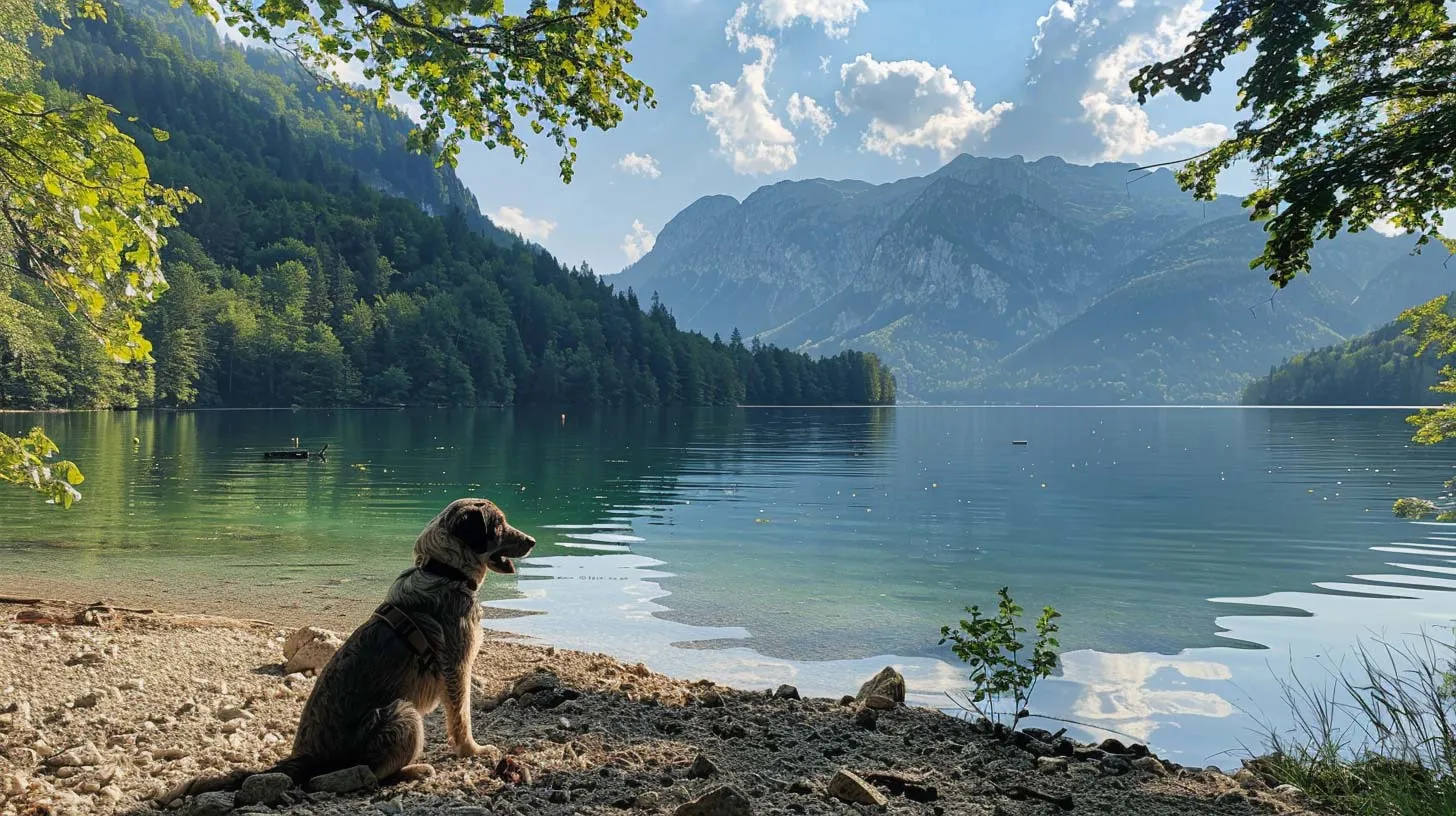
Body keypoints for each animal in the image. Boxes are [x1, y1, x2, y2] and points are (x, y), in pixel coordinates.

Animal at [165, 495, 538, 798]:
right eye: (499, 524)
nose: (533, 541)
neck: (444, 570)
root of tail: (305, 758)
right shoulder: (456, 667)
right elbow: (462, 719)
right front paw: (473, 751)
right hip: (402, 714)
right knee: (369, 774)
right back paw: (415, 769)